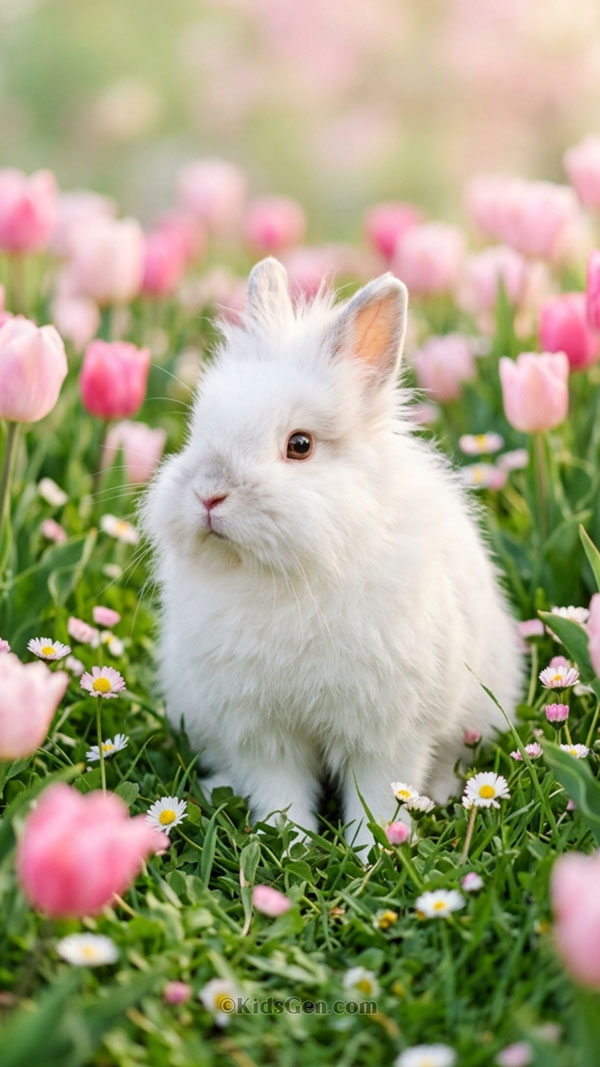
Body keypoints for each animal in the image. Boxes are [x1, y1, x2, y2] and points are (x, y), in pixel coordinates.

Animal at [143, 256, 522, 851]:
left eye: (299, 445)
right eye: (196, 429)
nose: (208, 494)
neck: (282, 573)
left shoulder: (387, 730)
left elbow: (378, 793)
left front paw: (372, 850)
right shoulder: (261, 731)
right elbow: (280, 791)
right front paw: (289, 843)